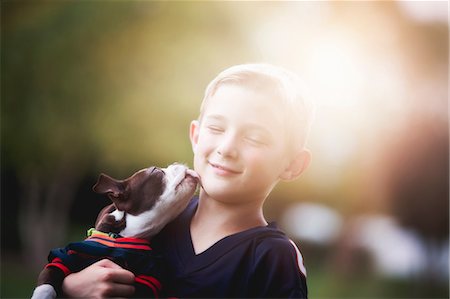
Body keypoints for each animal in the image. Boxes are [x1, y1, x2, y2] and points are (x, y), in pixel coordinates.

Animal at [31, 164, 199, 299]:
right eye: (156, 171)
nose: (177, 163)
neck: (119, 238)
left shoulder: (147, 280)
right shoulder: (63, 258)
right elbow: (47, 282)